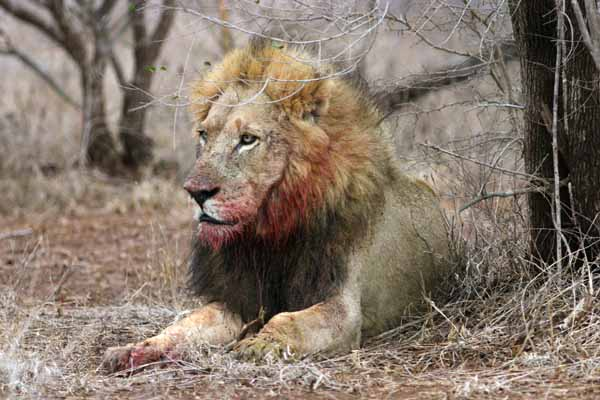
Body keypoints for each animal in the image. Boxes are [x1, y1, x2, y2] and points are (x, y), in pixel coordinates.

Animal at [103, 38, 450, 372]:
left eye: (247, 139)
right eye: (203, 135)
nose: (196, 192)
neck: (269, 232)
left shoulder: (345, 308)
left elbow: (287, 320)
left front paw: (257, 345)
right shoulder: (239, 300)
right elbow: (190, 322)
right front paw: (133, 350)